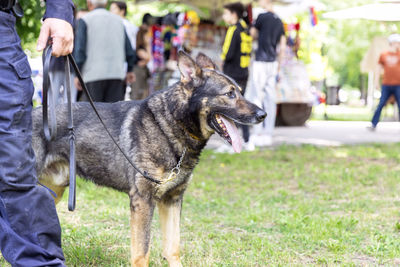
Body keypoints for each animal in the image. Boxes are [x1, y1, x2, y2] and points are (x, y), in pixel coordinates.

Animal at [32, 51, 266, 266]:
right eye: (229, 94)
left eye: (241, 92)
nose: (263, 115)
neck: (171, 125)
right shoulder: (143, 201)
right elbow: (142, 252)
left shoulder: (172, 200)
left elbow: (173, 248)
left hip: (54, 191)